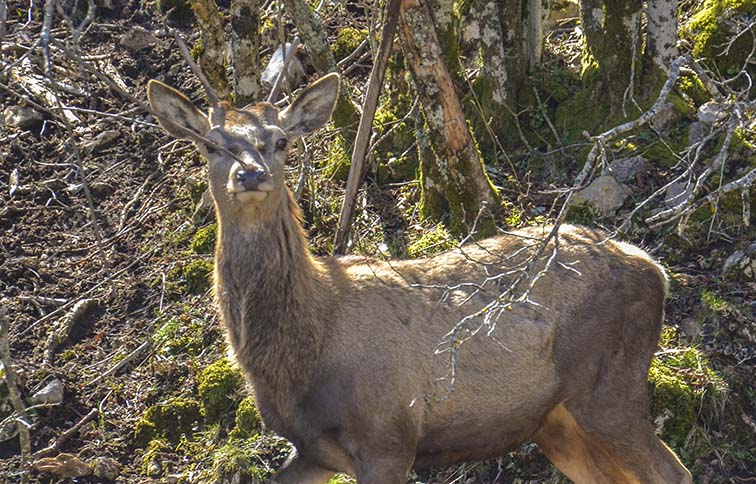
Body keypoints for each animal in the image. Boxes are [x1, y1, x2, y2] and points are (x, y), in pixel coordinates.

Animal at [146, 73, 692, 484]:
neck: (303, 352)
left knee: (673, 472)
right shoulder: (314, 450)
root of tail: (654, 268)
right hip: (554, 420)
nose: (251, 174)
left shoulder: (387, 437)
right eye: (211, 145)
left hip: (610, 383)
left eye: (280, 141)